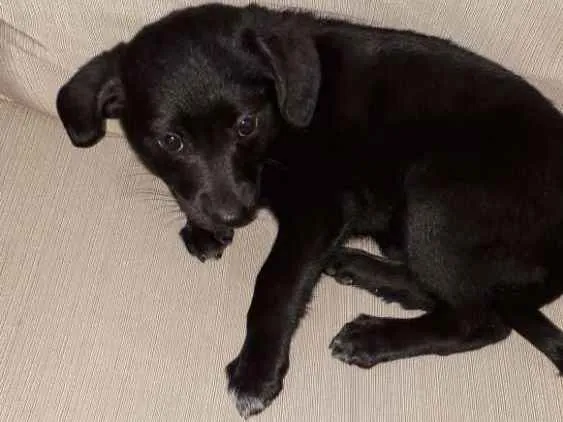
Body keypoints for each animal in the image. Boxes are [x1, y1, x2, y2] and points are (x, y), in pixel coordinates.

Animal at [56, 3, 563, 418]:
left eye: (246, 124)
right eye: (171, 141)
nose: (232, 215)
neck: (280, 128)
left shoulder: (319, 210)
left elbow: (275, 283)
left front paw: (256, 372)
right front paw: (200, 227)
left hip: (436, 201)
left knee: (479, 320)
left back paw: (373, 337)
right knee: (447, 293)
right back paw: (360, 267)